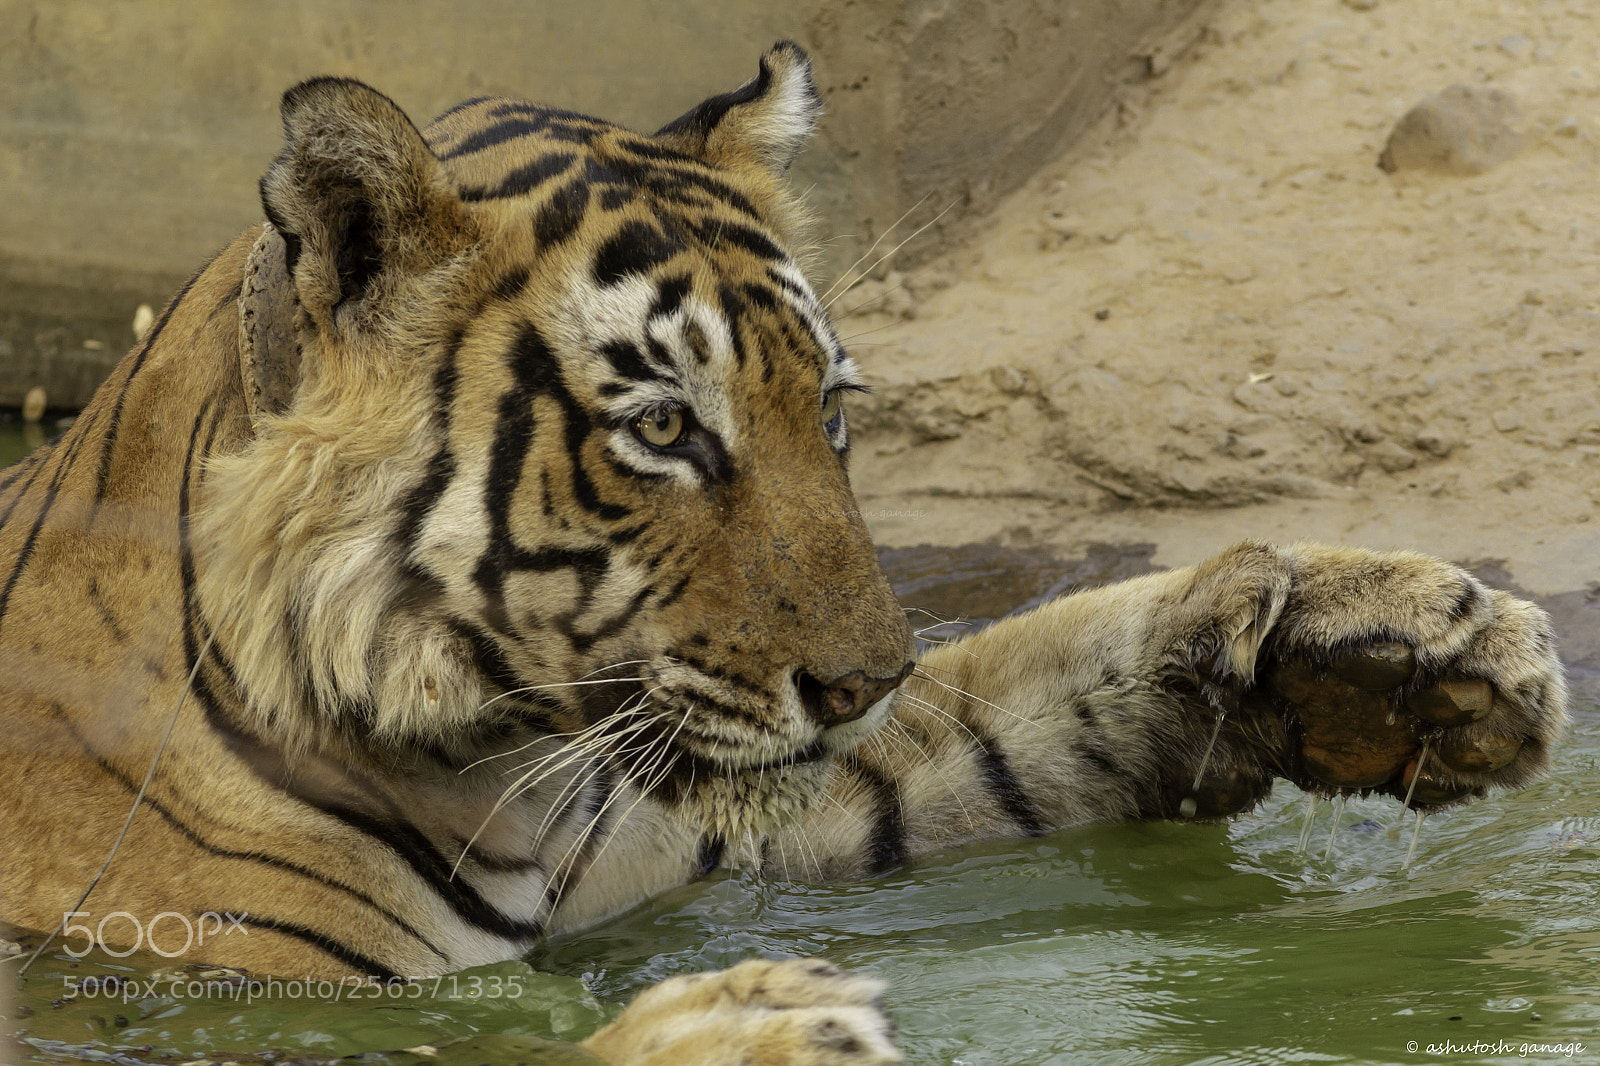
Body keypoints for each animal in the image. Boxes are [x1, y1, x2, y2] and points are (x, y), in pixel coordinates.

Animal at [0, 42, 1567, 1065]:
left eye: (824, 407)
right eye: (665, 427)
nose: (864, 681)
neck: (496, 765)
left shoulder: (712, 826)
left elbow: (1025, 694)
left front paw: (1384, 644)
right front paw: (751, 1026)